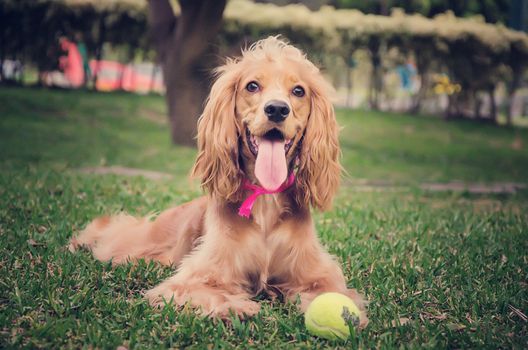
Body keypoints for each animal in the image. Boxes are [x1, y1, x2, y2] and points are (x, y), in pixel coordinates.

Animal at [69, 35, 368, 326]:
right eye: (252, 86)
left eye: (298, 91)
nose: (276, 109)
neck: (265, 200)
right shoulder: (193, 277)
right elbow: (207, 291)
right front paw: (240, 307)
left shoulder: (318, 274)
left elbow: (331, 293)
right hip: (143, 243)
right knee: (114, 231)